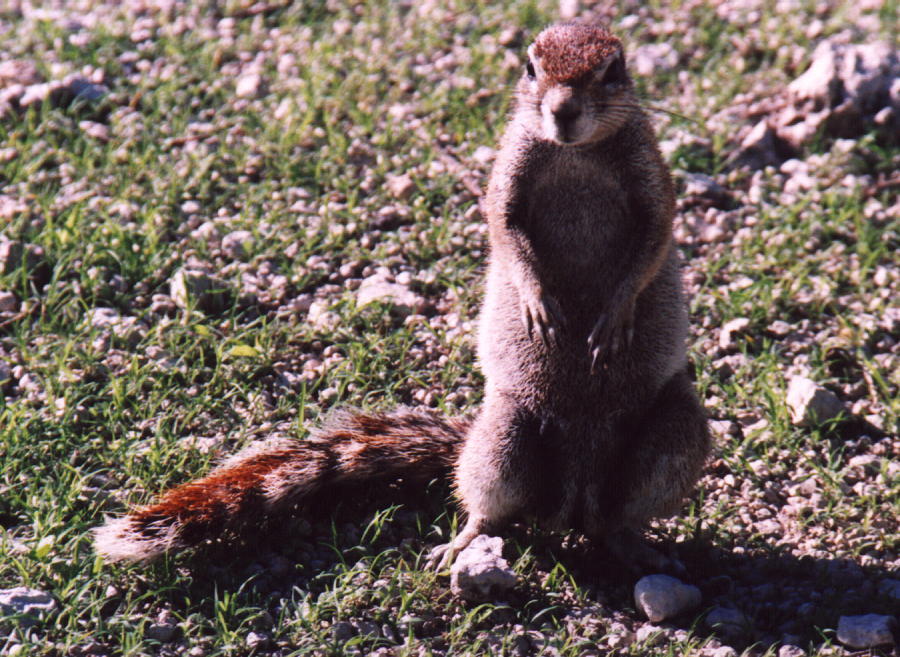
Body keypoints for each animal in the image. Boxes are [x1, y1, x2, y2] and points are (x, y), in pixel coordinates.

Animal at [93, 24, 712, 568]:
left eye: (614, 70)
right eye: (530, 67)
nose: (562, 112)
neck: (578, 152)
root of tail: (572, 504)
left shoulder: (651, 179)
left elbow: (653, 236)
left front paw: (613, 314)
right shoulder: (508, 175)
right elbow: (506, 230)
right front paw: (537, 299)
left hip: (677, 431)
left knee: (620, 518)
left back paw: (636, 546)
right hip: (504, 436)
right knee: (489, 509)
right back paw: (463, 543)